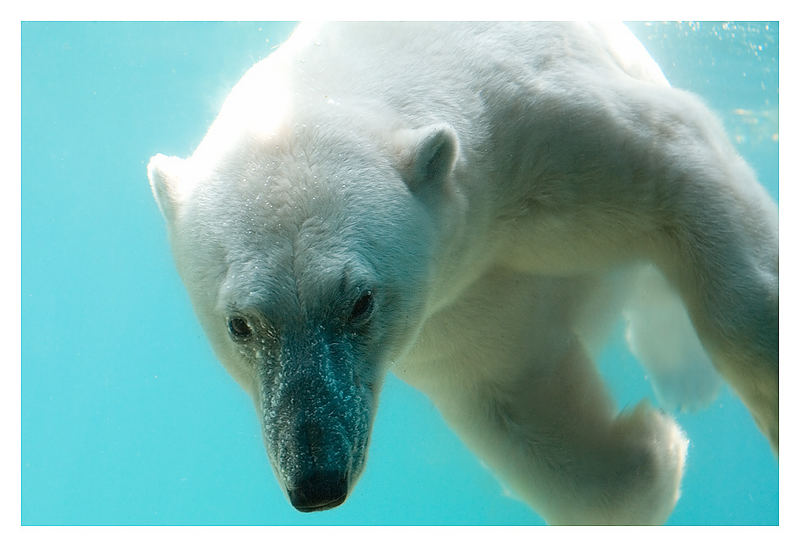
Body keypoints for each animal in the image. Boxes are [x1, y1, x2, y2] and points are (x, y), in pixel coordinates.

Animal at [147, 22, 780, 528]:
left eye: (360, 302)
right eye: (240, 325)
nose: (317, 479)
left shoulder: (553, 129)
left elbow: (677, 162)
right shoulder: (455, 303)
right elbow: (512, 391)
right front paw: (653, 448)